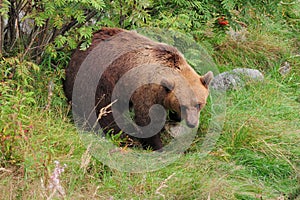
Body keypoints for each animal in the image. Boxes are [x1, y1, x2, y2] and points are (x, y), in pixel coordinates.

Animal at [63, 27, 213, 150]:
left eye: (199, 104)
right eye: (183, 105)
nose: (192, 123)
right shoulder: (146, 90)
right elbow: (146, 118)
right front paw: (157, 146)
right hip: (97, 77)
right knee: (102, 110)